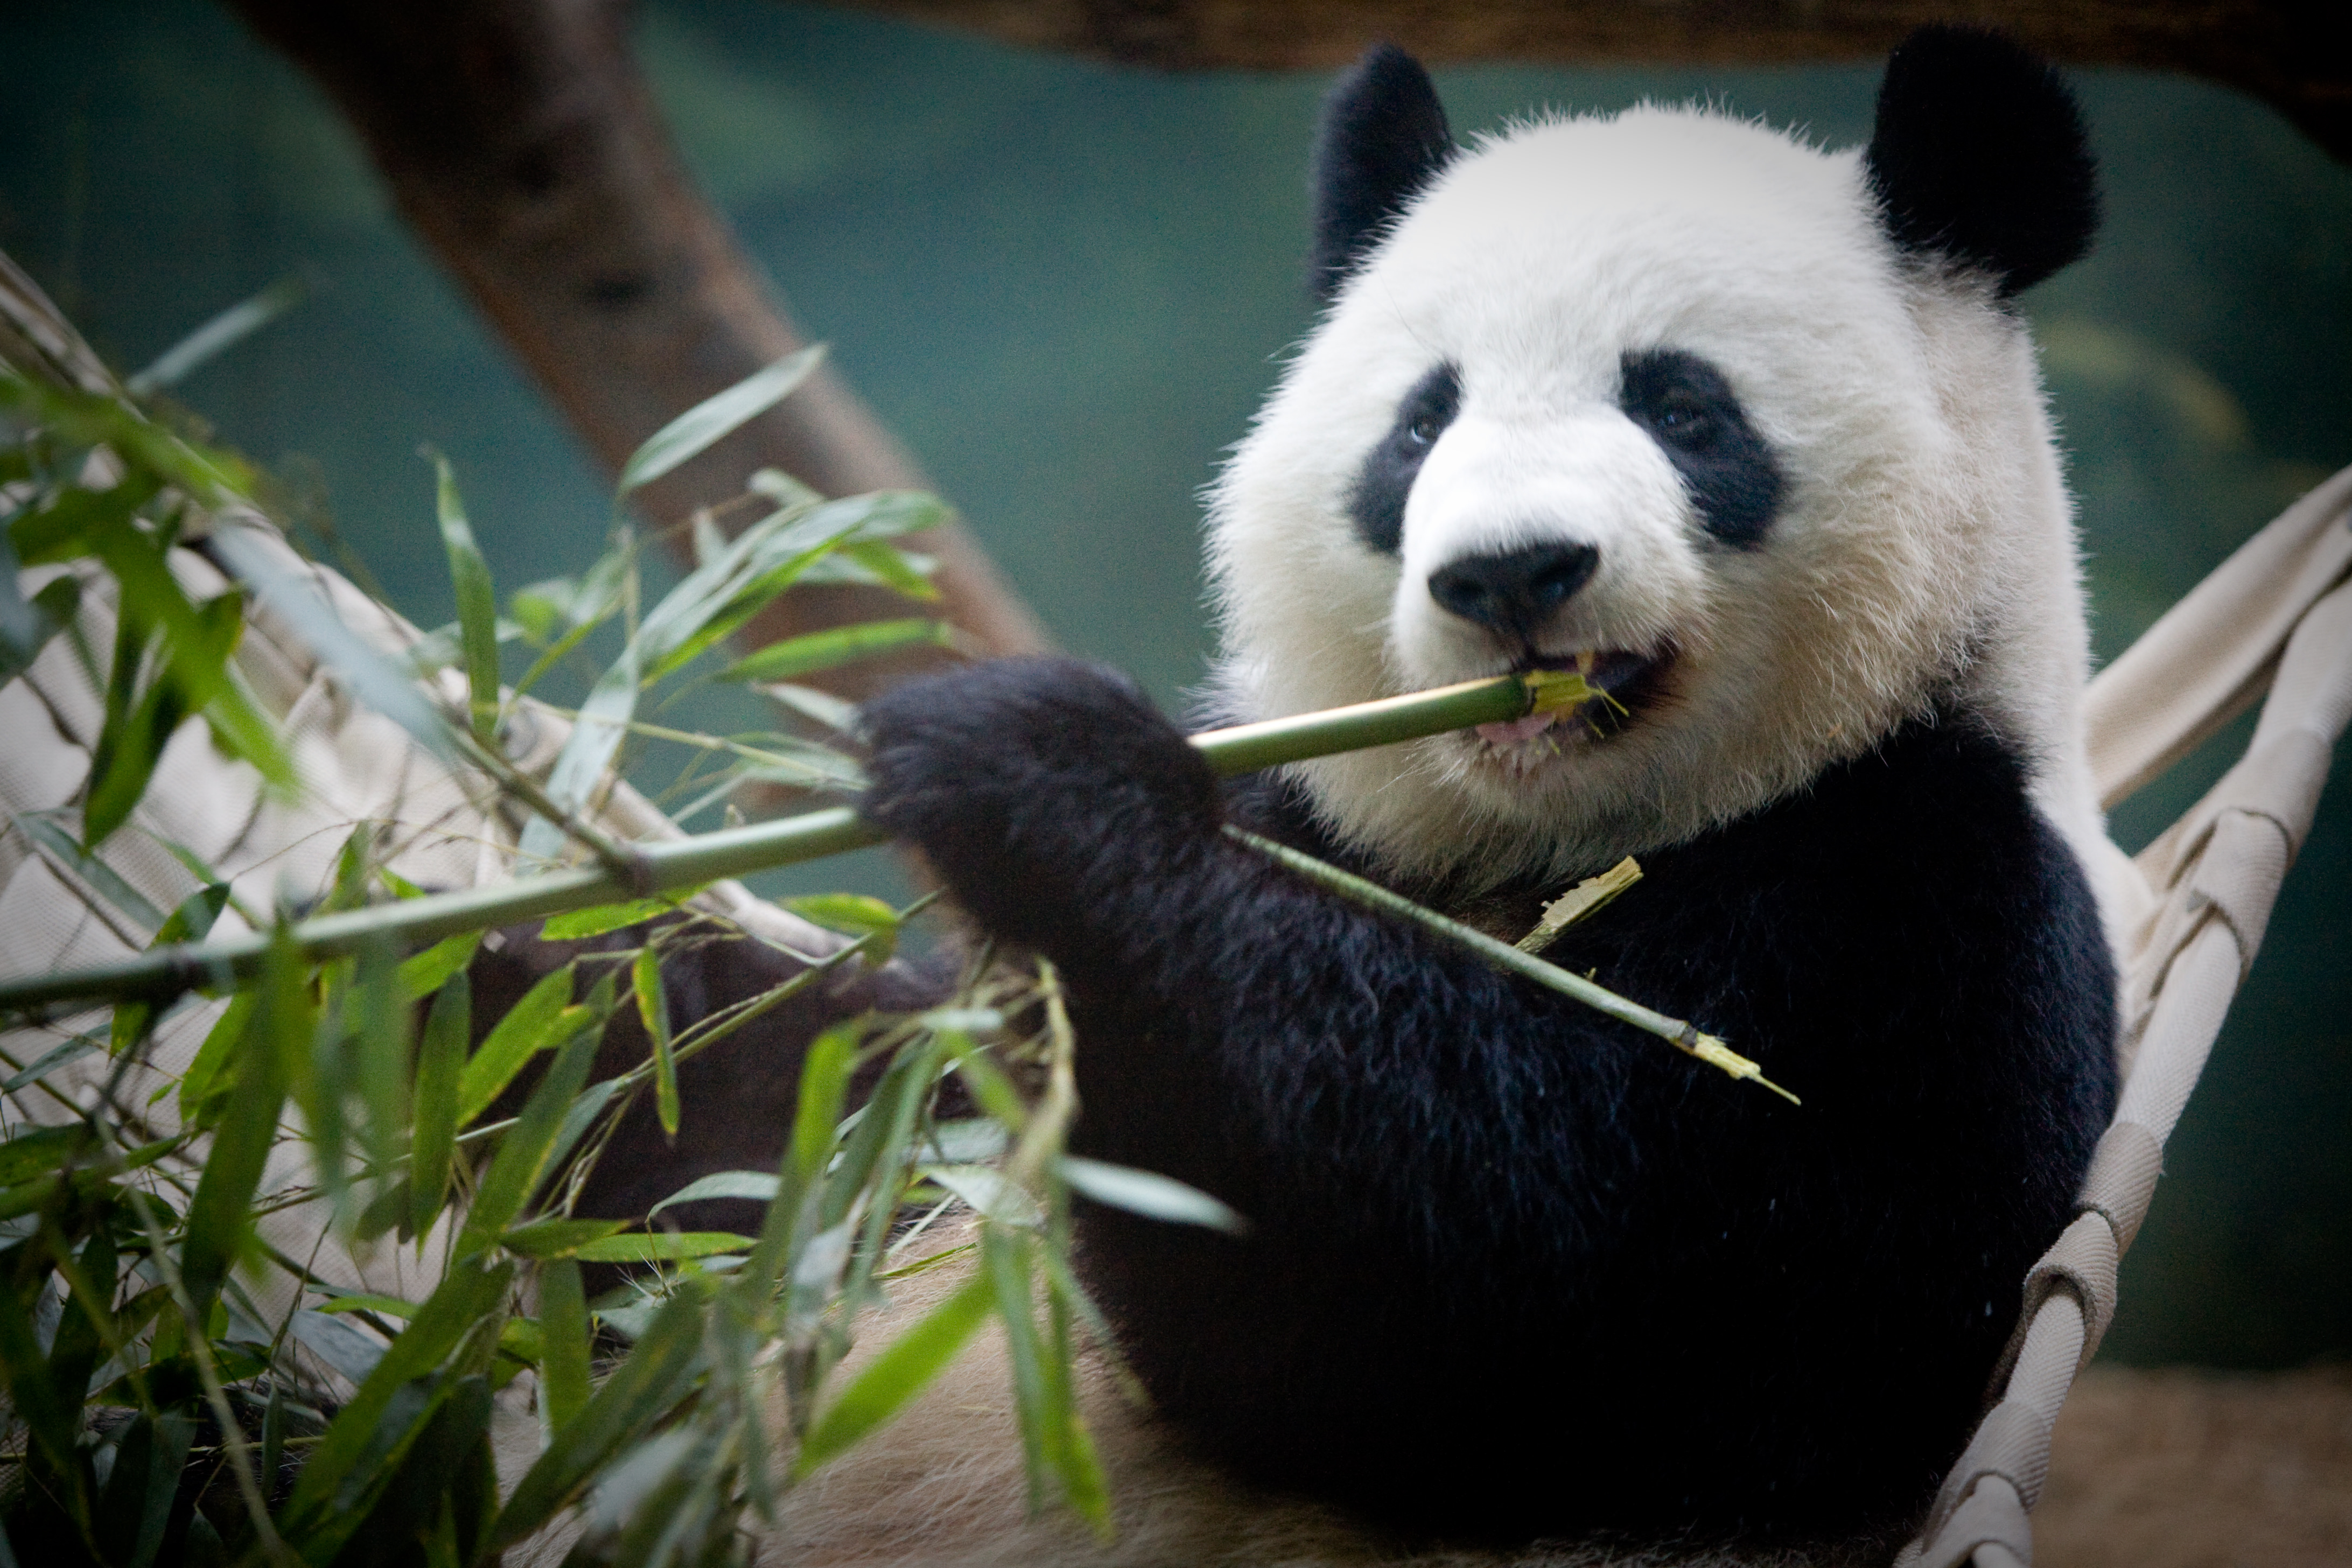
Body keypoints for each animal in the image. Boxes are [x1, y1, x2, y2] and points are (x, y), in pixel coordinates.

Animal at [840, 25, 2123, 1558]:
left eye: (1682, 408)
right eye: (1420, 425)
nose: (1511, 572)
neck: (1546, 840)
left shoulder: (1927, 918)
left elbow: (1528, 1322)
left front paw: (1032, 772)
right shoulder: (1319, 804)